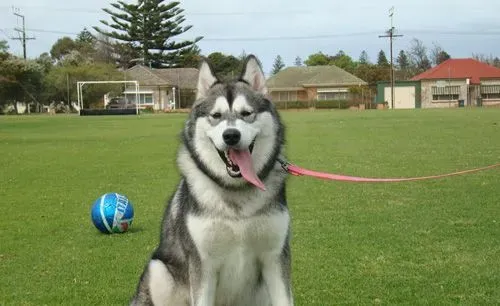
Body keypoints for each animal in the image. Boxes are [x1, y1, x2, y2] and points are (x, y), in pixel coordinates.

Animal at [131, 55, 292, 306]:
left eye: (246, 113)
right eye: (216, 116)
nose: (231, 135)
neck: (236, 193)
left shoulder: (275, 258)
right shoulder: (202, 264)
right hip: (159, 269)